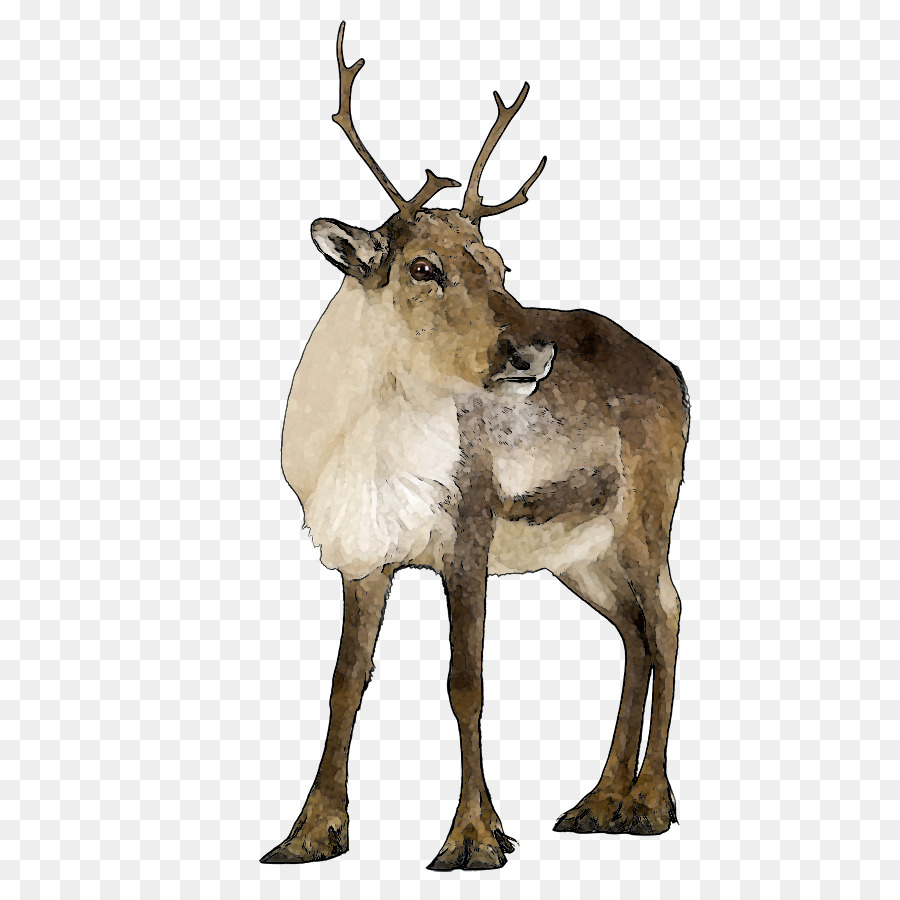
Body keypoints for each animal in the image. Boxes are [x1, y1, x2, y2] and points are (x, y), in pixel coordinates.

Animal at [260, 22, 689, 871]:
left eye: (500, 265)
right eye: (423, 267)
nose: (531, 353)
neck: (357, 454)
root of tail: (672, 370)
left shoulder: (470, 531)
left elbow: (467, 682)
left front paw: (474, 839)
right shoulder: (364, 557)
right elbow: (345, 682)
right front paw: (310, 832)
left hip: (645, 519)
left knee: (666, 616)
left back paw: (650, 804)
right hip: (578, 554)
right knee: (630, 632)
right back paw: (597, 803)